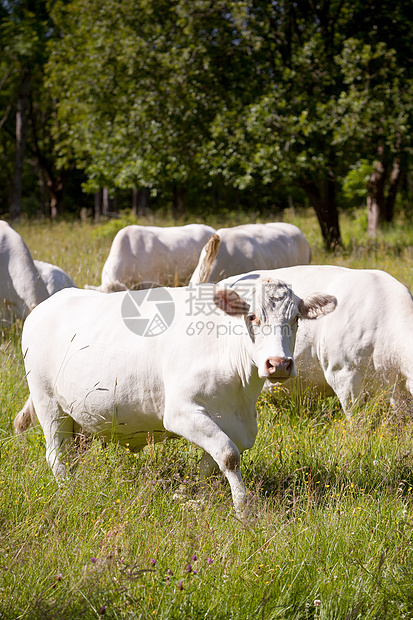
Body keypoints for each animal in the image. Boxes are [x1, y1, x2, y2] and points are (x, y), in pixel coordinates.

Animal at [14, 278, 334, 516]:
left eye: (296, 318)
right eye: (252, 316)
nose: (278, 363)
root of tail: (47, 304)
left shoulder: (235, 423)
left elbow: (213, 462)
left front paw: (199, 497)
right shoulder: (181, 412)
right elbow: (229, 455)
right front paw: (243, 510)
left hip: (78, 418)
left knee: (73, 455)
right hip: (48, 403)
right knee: (57, 455)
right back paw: (69, 492)